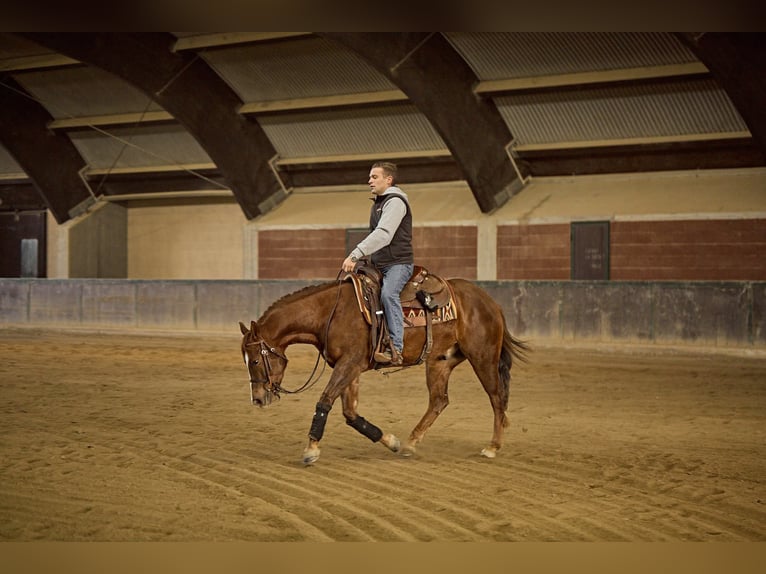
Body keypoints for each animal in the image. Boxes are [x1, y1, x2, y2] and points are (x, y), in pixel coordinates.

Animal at [240, 276, 528, 466]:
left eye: (254, 360)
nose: (257, 399)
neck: (330, 313)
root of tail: (490, 302)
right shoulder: (350, 368)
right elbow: (351, 414)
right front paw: (391, 441)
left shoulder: (349, 363)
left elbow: (325, 401)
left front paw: (311, 449)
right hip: (440, 361)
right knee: (439, 400)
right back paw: (410, 443)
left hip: (482, 357)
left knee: (497, 397)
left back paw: (492, 447)